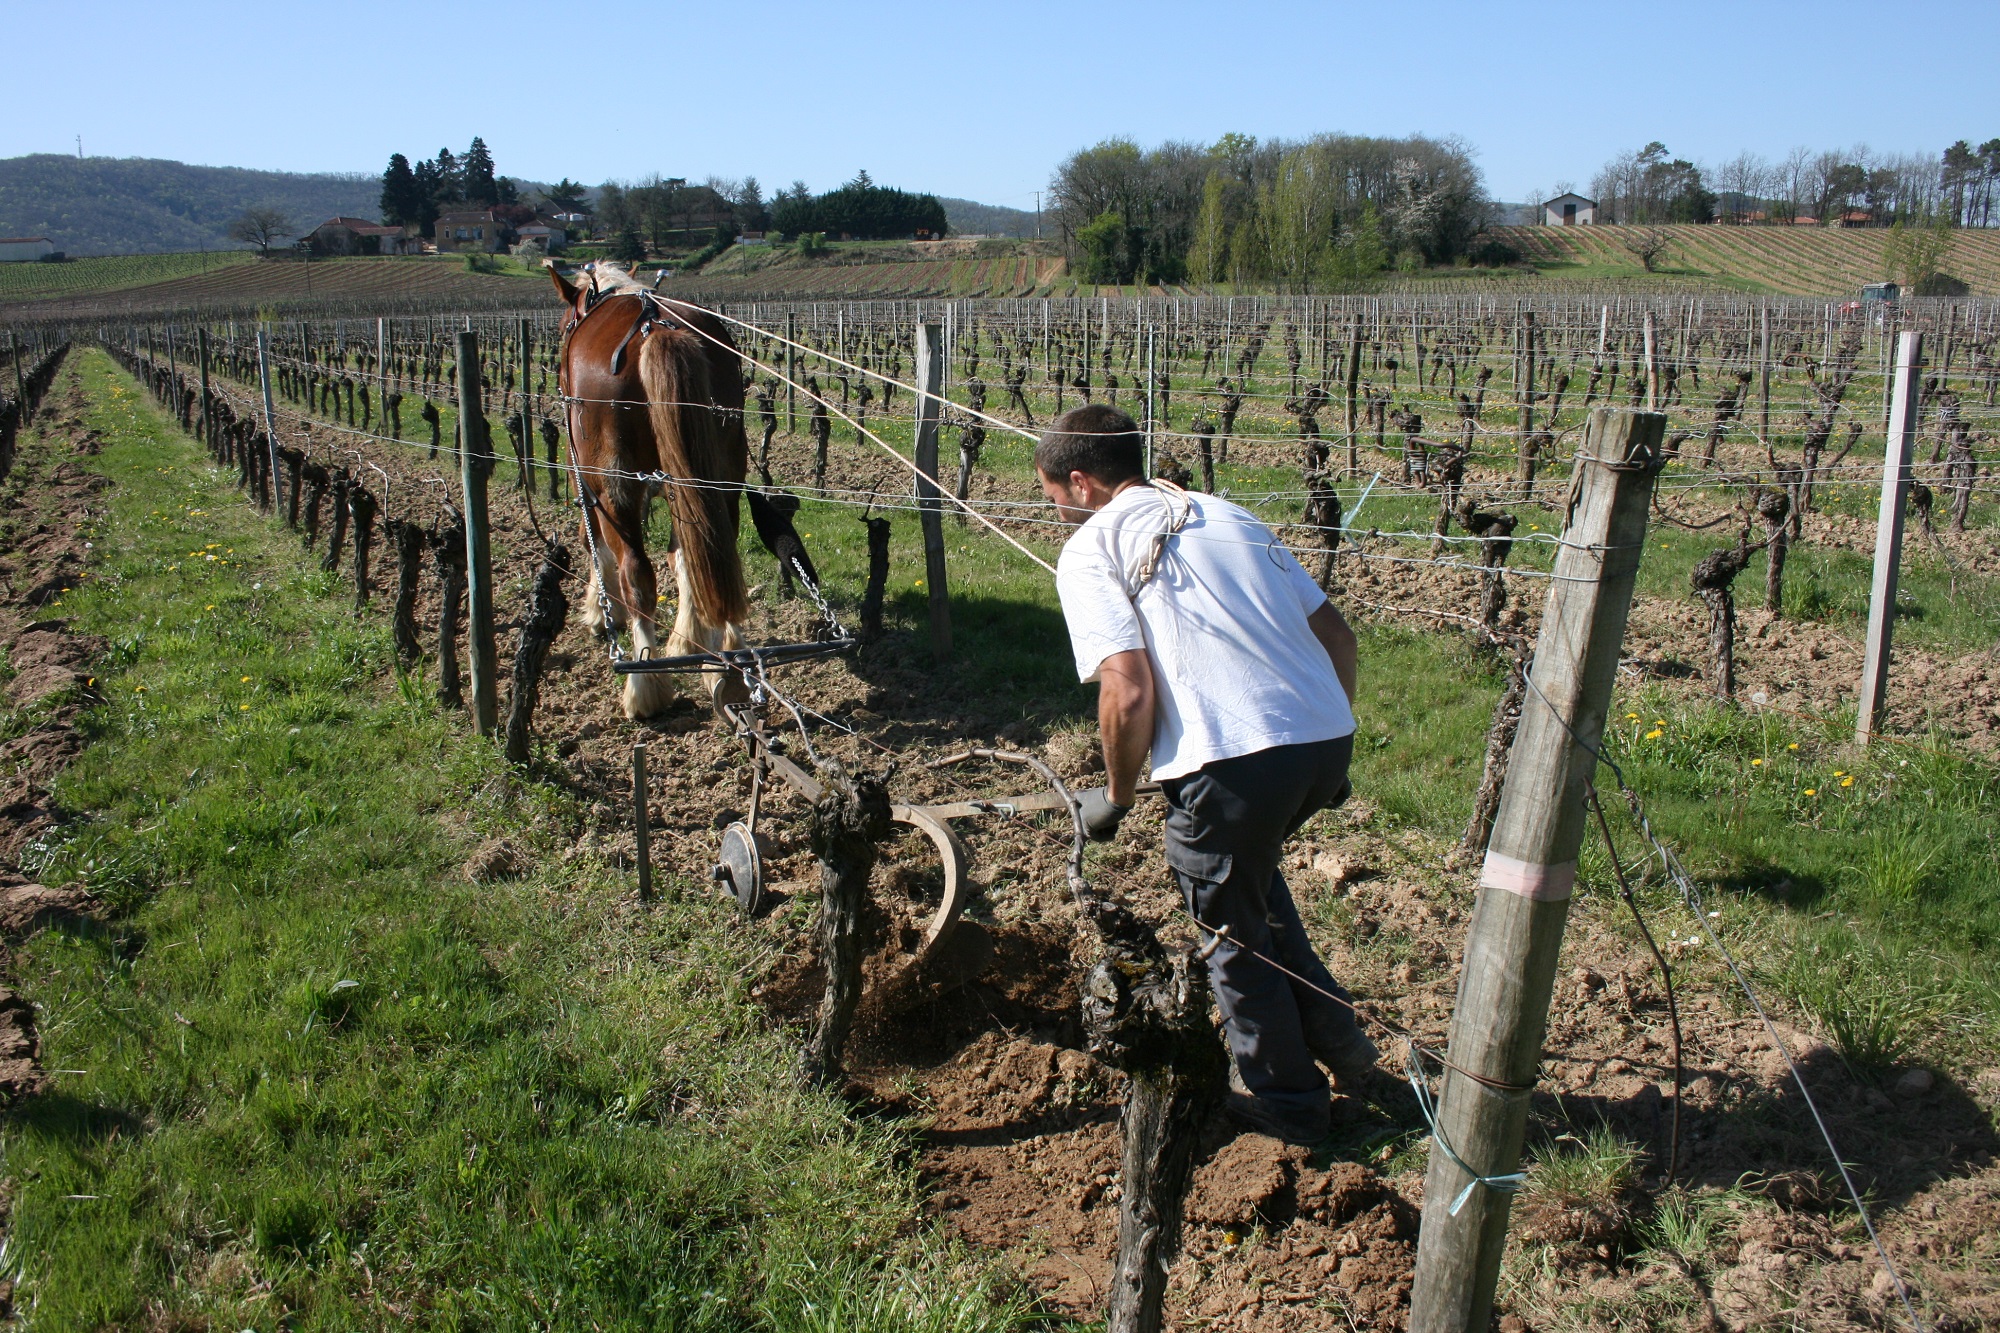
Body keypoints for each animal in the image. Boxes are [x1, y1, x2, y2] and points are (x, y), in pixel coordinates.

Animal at [548, 262, 752, 716]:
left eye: (565, 324)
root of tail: (654, 328)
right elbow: (682, 557)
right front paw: (687, 639)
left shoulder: (585, 476)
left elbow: (595, 544)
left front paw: (598, 611)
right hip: (720, 473)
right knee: (711, 554)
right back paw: (725, 662)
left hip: (615, 481)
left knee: (636, 574)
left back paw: (645, 687)